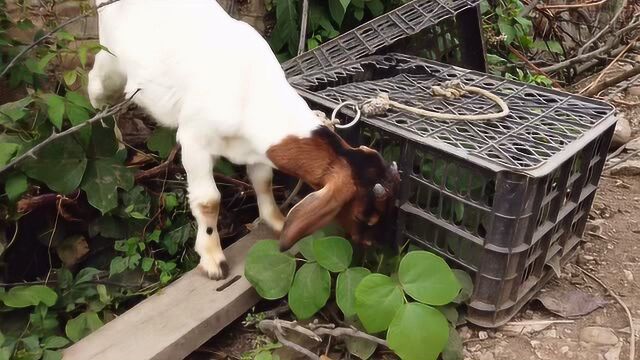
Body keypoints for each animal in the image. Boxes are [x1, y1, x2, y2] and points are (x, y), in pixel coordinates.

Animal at [89, 0, 400, 280]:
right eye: (364, 217)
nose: (386, 249)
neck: (249, 93)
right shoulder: (195, 141)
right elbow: (208, 200)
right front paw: (213, 260)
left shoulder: (256, 149)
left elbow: (263, 180)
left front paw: (276, 221)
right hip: (110, 60)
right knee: (96, 88)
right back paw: (115, 141)